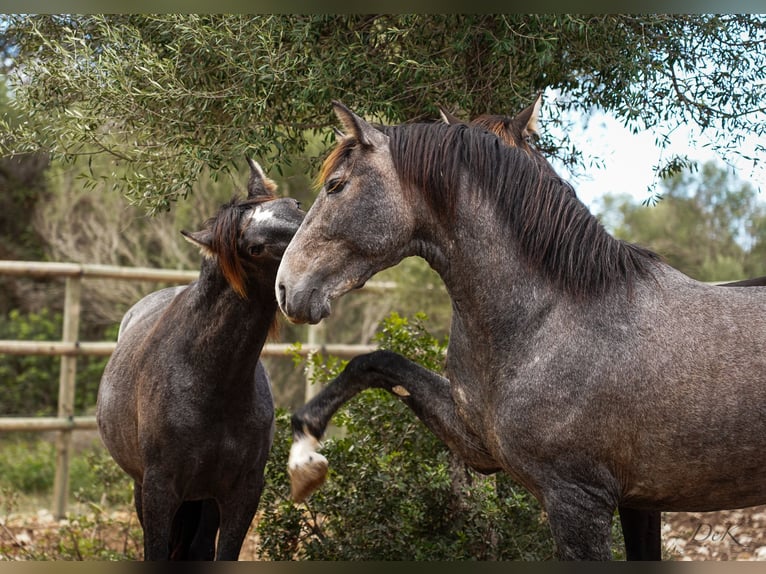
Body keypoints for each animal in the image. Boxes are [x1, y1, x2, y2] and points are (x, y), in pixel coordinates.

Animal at [97, 158, 304, 560]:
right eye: (255, 248)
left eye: (296, 205)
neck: (212, 384)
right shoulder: (159, 491)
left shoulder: (242, 494)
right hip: (144, 489)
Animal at [275, 101, 766, 560]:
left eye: (336, 185)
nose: (285, 287)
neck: (549, 318)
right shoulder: (482, 447)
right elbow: (374, 363)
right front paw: (303, 456)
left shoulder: (577, 501)